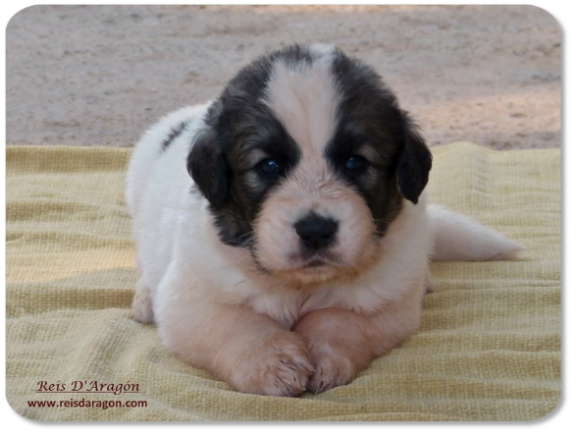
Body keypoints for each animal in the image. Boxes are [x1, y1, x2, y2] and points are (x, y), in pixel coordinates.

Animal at [126, 43, 520, 396]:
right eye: (268, 166)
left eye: (355, 162)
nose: (315, 231)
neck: (301, 286)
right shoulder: (191, 295)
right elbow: (234, 322)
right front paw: (272, 364)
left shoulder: (390, 300)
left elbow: (343, 317)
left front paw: (323, 355)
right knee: (144, 258)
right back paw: (144, 298)